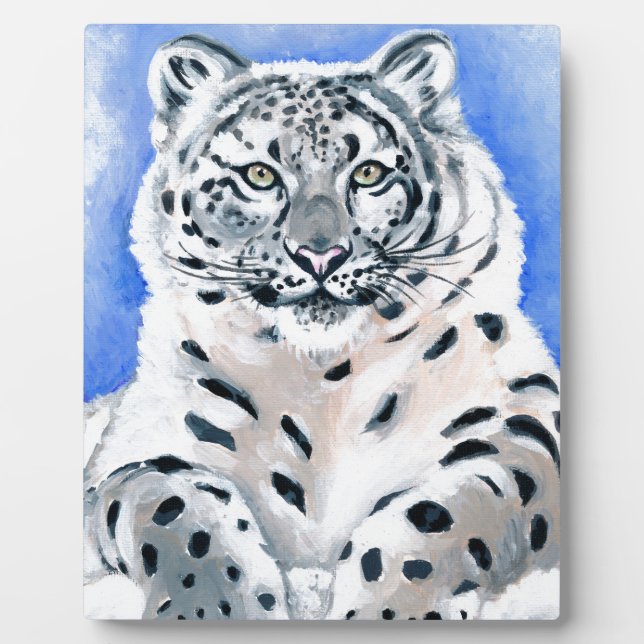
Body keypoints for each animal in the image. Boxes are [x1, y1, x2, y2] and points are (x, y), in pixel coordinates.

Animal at [84, 30, 560, 620]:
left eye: (369, 173)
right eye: (259, 174)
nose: (320, 255)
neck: (324, 381)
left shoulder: (517, 424)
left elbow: (444, 515)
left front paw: (391, 612)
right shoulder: (139, 450)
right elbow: (181, 515)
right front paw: (219, 612)